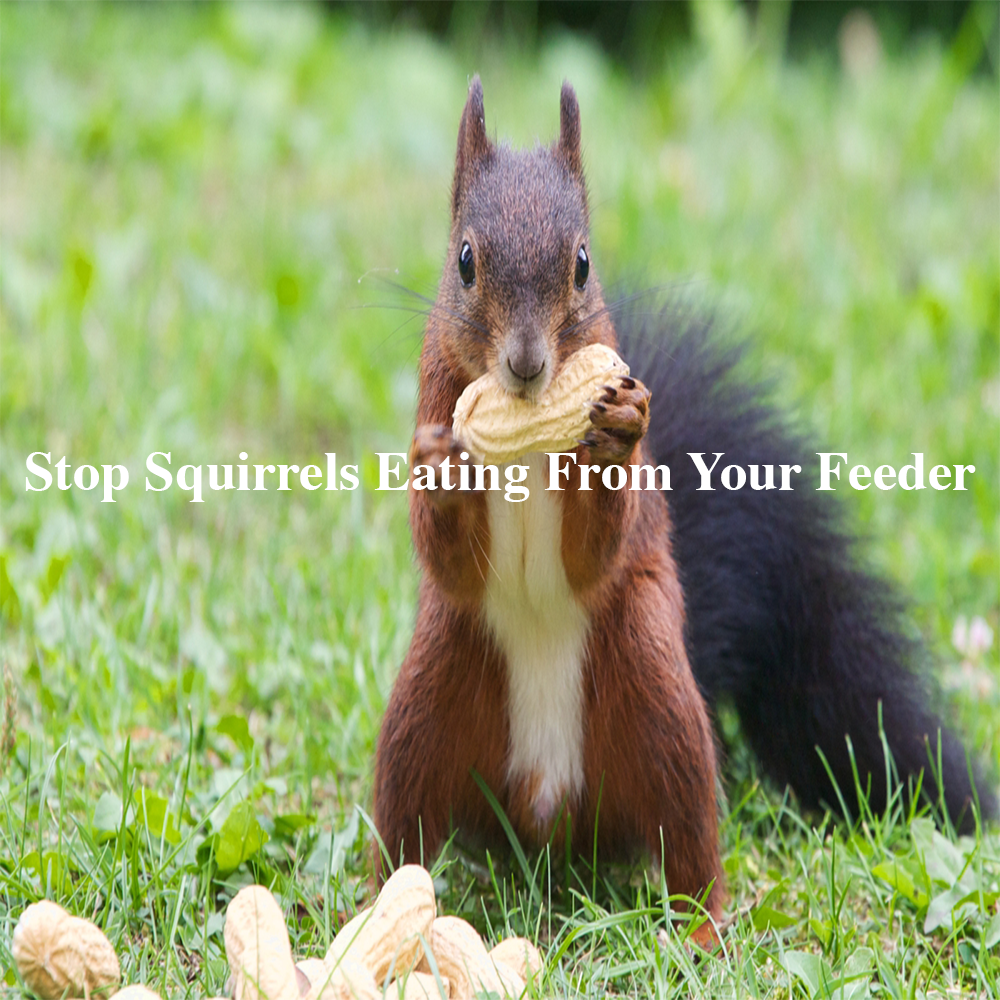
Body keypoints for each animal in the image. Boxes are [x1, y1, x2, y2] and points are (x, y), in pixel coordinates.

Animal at [372, 77, 996, 928]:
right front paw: (440, 464)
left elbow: (596, 549)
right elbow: (450, 559)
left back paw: (703, 928)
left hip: (655, 688)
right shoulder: (436, 398)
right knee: (403, 824)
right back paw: (375, 913)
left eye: (583, 263)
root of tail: (549, 824)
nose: (527, 365)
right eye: (464, 260)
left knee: (689, 828)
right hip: (431, 693)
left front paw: (620, 432)